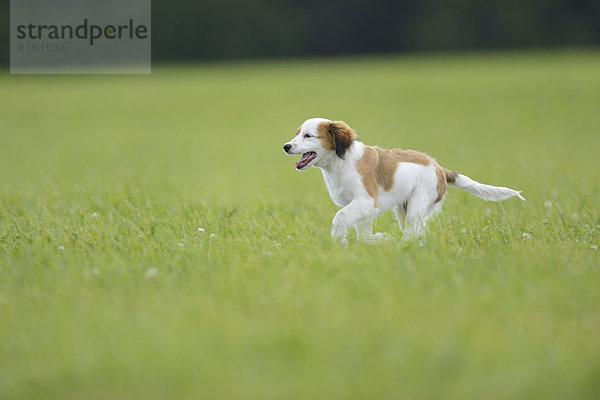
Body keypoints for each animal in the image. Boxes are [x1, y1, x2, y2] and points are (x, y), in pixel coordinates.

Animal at [284, 118, 524, 244]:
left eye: (308, 136)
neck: (340, 162)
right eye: (297, 134)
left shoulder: (366, 201)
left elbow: (340, 217)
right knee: (417, 232)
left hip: (417, 204)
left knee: (411, 233)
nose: (286, 146)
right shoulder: (362, 208)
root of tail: (440, 169)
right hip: (403, 208)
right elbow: (363, 234)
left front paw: (338, 240)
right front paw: (376, 241)